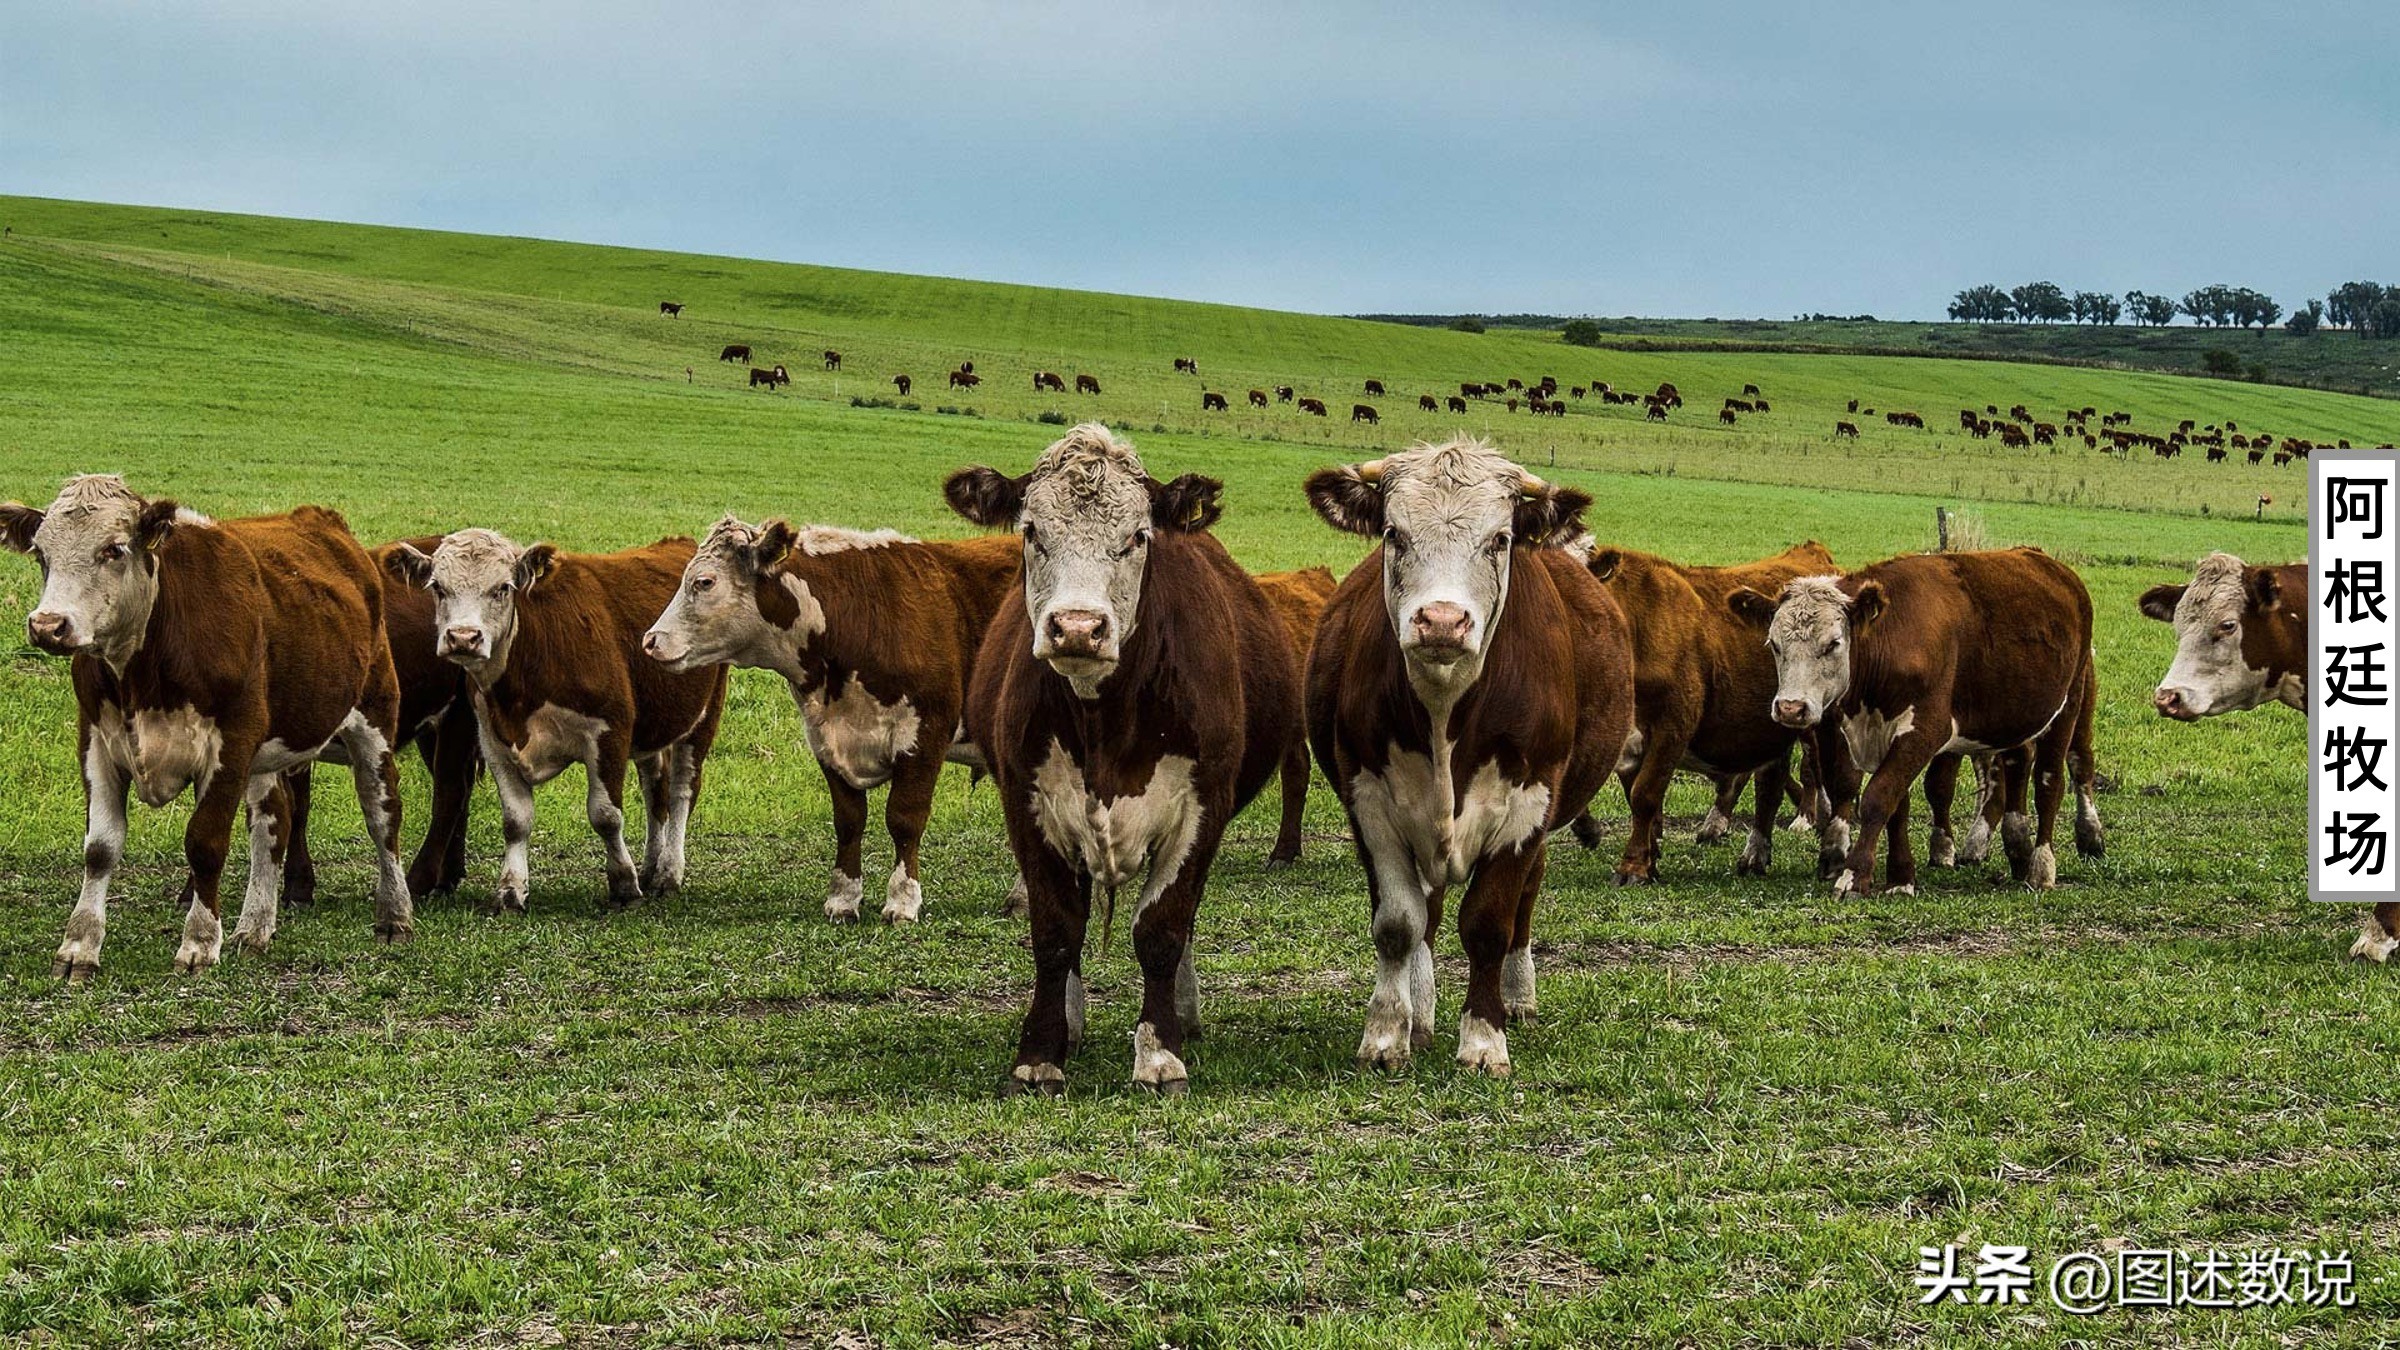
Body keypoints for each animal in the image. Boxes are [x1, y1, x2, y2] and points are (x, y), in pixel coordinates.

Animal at [1, 468, 412, 970]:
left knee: (382, 813)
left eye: (113, 549)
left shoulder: (229, 745)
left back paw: (395, 915)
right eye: (41, 552)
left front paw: (198, 942)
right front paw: (80, 945)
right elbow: (99, 849)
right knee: (274, 821)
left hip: (374, 720)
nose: (47, 625)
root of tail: (323, 521)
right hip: (266, 752)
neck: (142, 672)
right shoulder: (95, 739)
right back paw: (254, 926)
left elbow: (205, 843)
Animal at [388, 523, 724, 903]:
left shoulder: (610, 732)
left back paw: (668, 872)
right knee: (656, 788)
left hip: (704, 716)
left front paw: (623, 885)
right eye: (438, 588)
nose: (463, 637)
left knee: (682, 791)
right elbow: (515, 820)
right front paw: (511, 889)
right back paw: (651, 865)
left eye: (503, 588)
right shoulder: (493, 739)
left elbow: (606, 815)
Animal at [945, 422, 1305, 1095]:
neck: (1104, 719)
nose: (1077, 628)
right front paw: (1040, 1053)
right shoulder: (1028, 803)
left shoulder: (1202, 807)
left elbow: (1162, 927)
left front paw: (1159, 1052)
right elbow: (1056, 930)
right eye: (1031, 531)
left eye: (1138, 537)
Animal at [1305, 439, 1641, 1071]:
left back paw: (1517, 996)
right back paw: (1422, 1012)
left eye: (1500, 539)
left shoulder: (1527, 805)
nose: (1441, 620)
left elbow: (1490, 923)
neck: (1445, 713)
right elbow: (1399, 923)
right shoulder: (1371, 802)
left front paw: (1484, 1040)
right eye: (1393, 533)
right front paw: (1387, 1033)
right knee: (1428, 911)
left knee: (1524, 900)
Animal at [1728, 547, 2102, 893]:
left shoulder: (1924, 730)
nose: (1791, 708)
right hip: (2012, 715)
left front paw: (1854, 875)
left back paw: (2044, 864)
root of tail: (2046, 561)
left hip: (2069, 706)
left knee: (2051, 780)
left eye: (1833, 643)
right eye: (1774, 644)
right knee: (2016, 765)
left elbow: (1880, 795)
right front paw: (1900, 877)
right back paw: (2017, 848)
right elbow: (1897, 803)